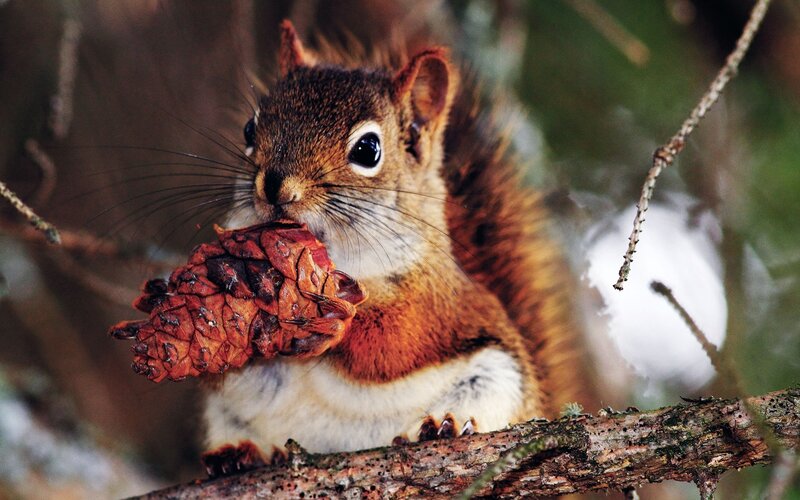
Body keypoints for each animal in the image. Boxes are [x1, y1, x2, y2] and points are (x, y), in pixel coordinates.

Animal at [202, 20, 592, 473]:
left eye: (368, 149)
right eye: (250, 129)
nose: (276, 186)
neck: (339, 260)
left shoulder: (433, 301)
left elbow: (394, 341)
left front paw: (338, 320)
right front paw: (233, 282)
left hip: (498, 379)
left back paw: (444, 425)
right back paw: (242, 453)